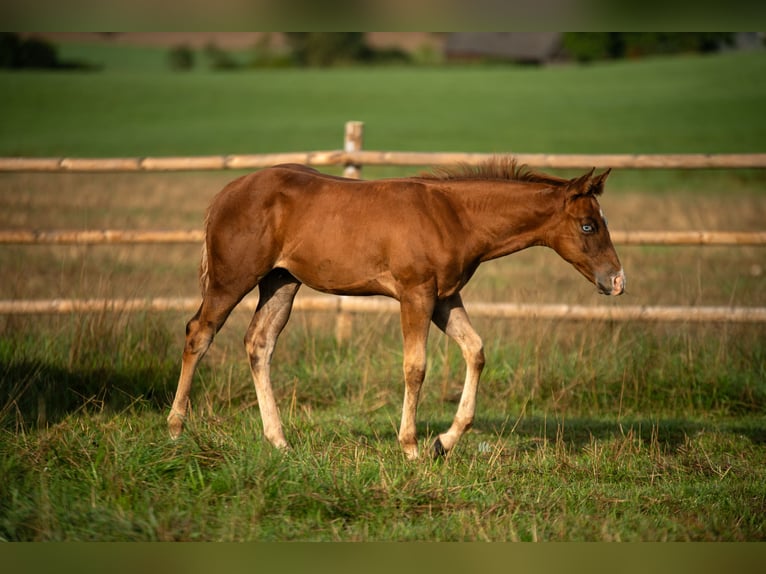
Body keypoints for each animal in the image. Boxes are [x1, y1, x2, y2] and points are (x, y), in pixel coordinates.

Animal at [168, 158, 625, 459]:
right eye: (588, 225)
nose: (617, 281)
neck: (453, 216)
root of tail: (225, 193)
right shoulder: (415, 294)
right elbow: (415, 367)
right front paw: (411, 447)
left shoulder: (445, 298)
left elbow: (475, 350)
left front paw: (444, 441)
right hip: (232, 279)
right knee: (199, 333)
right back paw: (175, 428)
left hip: (281, 281)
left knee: (259, 343)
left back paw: (279, 440)